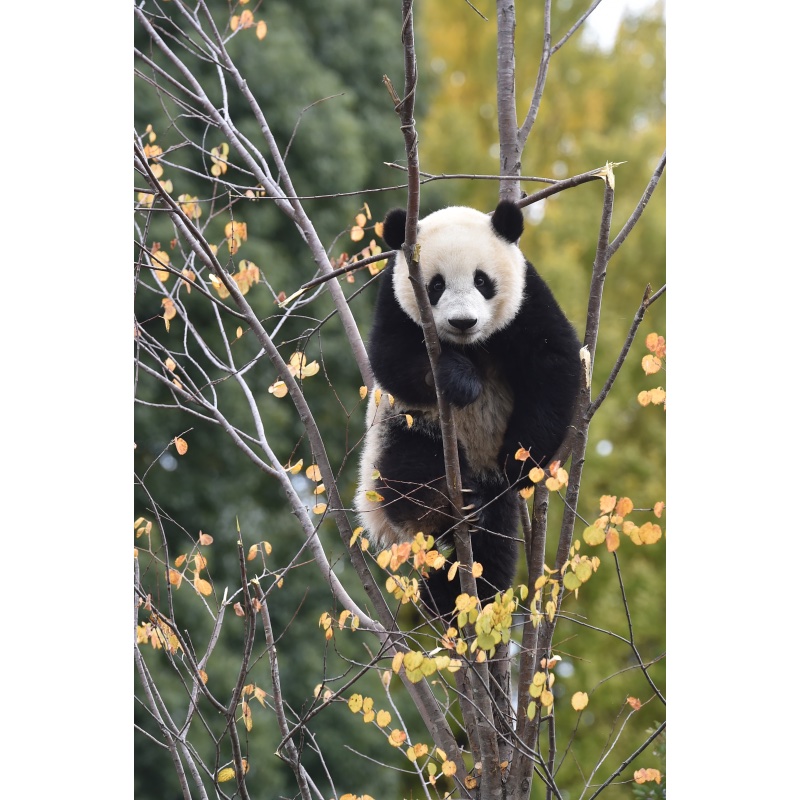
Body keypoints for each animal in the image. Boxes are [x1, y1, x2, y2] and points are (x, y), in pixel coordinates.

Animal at [356, 202, 580, 620]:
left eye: (482, 280)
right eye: (435, 285)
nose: (463, 322)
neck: (472, 345)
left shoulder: (528, 302)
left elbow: (555, 364)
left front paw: (521, 461)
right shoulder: (395, 303)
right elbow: (390, 357)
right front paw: (461, 381)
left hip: (490, 488)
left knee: (493, 549)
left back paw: (456, 593)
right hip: (404, 433)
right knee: (413, 473)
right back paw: (445, 510)